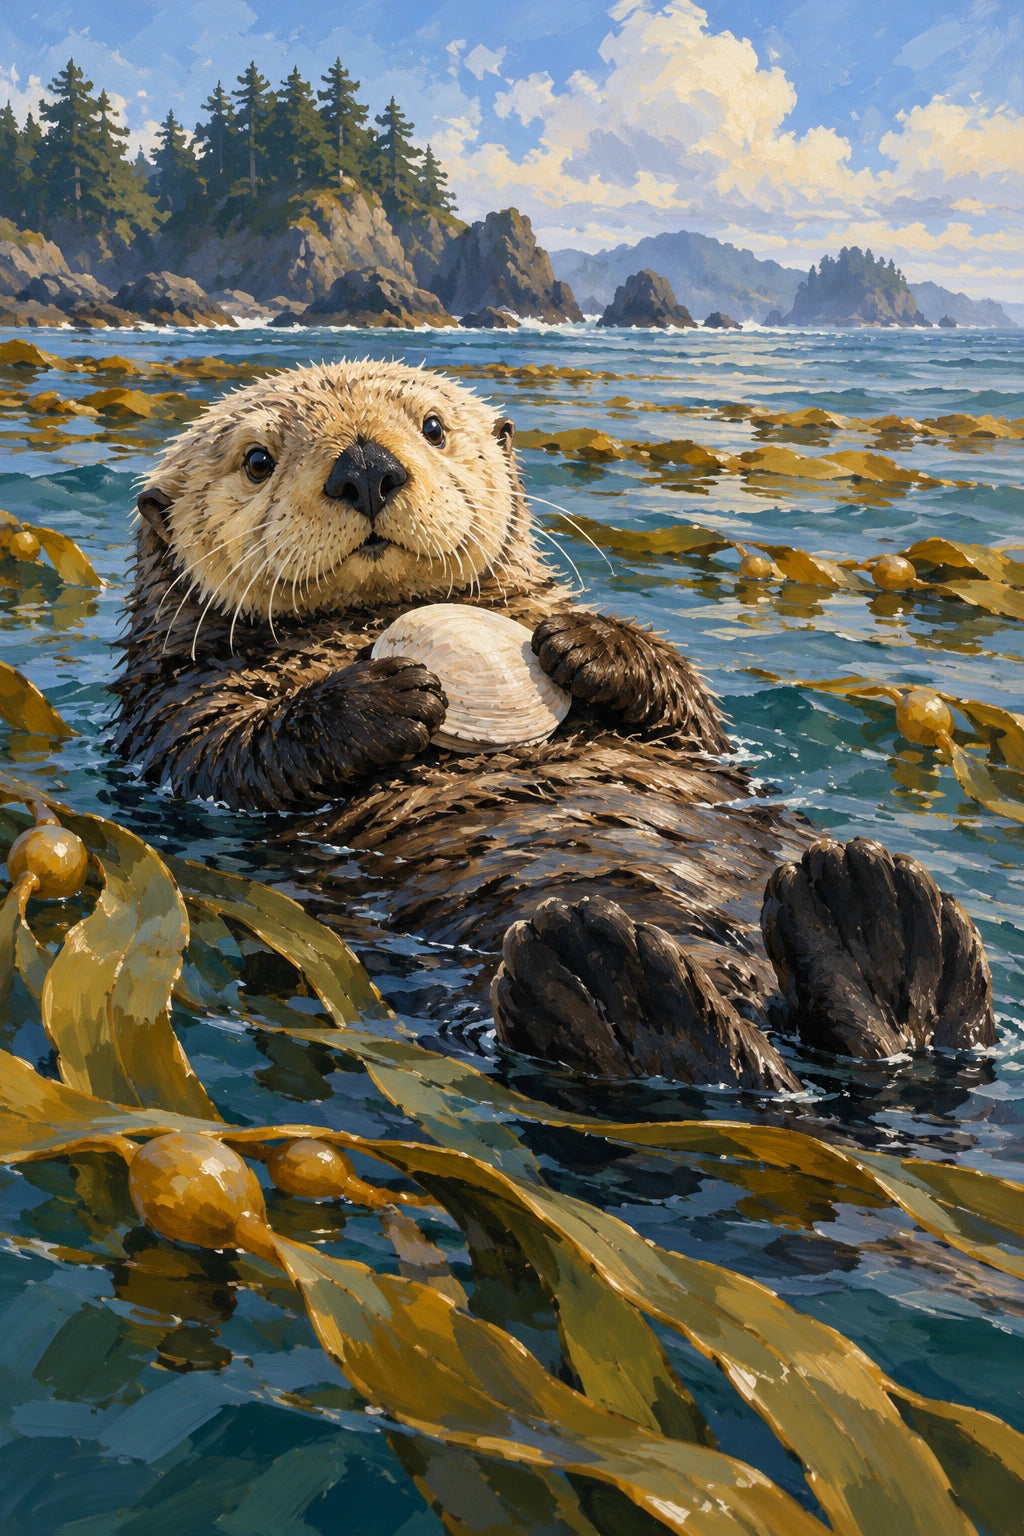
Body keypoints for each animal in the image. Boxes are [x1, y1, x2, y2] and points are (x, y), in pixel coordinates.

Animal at [114, 360, 995, 1090]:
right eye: (258, 460)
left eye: (433, 427)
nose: (365, 466)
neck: (366, 620)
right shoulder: (174, 711)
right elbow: (235, 753)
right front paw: (390, 695)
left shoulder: (688, 720)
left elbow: (694, 714)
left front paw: (585, 645)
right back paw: (615, 975)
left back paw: (873, 919)